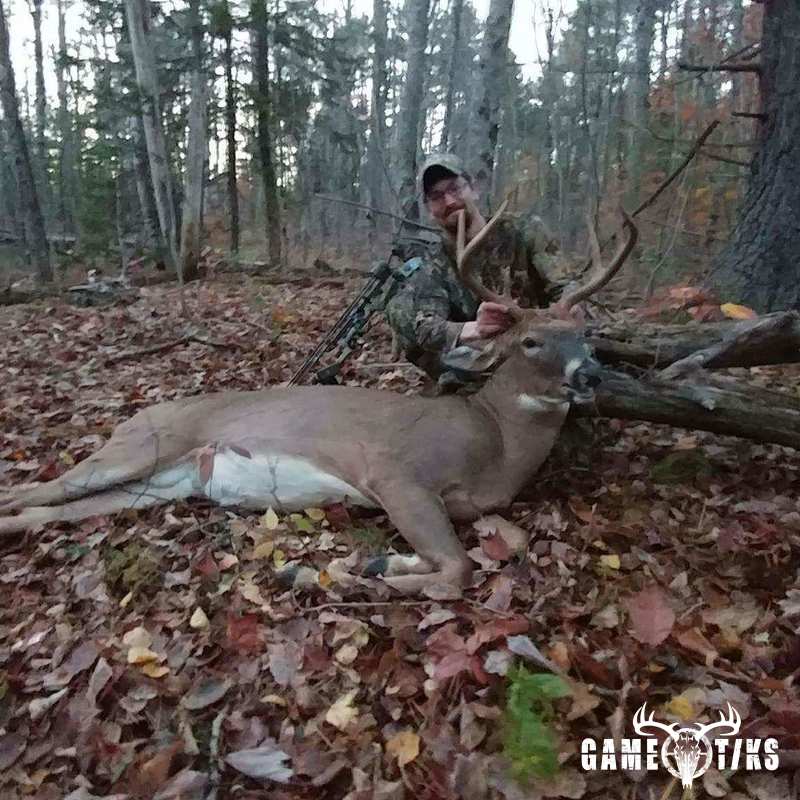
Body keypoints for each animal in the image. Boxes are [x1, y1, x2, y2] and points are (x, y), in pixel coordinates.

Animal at [0, 205, 637, 594]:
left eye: (584, 333)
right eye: (530, 340)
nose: (590, 373)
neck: (496, 446)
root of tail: (138, 414)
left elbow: (478, 555)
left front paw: (382, 564)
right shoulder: (396, 474)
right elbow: (455, 568)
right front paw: (370, 569)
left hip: (160, 483)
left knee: (50, 509)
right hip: (141, 446)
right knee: (30, 489)